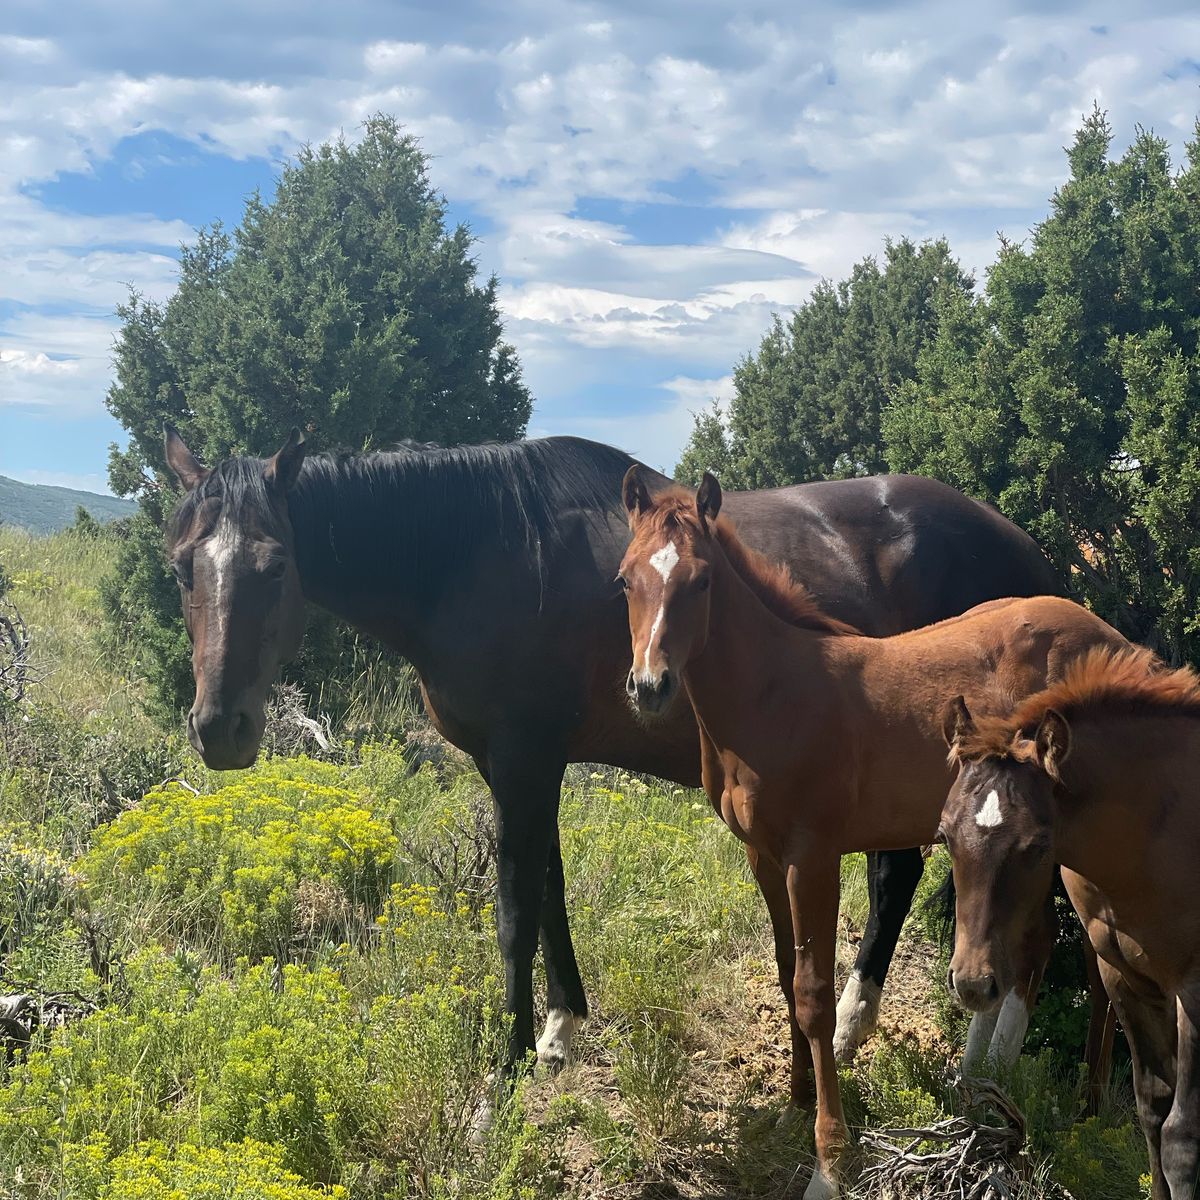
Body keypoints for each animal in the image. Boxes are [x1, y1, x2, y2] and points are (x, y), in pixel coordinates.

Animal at [162, 425, 1064, 1077]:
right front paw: (560, 1029)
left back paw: (951, 1050)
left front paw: (506, 1067)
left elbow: (514, 908)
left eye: (275, 566)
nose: (219, 728)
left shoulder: (523, 760)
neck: (480, 555)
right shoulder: (519, 763)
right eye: (181, 567)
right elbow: (549, 887)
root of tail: (1031, 556)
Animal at [616, 469, 1127, 1198]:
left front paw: (830, 1162)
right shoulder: (763, 856)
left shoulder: (813, 856)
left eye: (702, 580)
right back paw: (985, 1083)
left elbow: (816, 997)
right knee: (1038, 945)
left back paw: (1081, 1104)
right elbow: (786, 975)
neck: (776, 693)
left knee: (1089, 954)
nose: (650, 686)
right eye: (625, 581)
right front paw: (794, 1103)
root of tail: (1114, 638)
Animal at [940, 647, 1200, 1200]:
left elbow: (1182, 1138)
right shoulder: (1124, 978)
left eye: (1038, 845)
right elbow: (1152, 1109)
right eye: (944, 833)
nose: (972, 983)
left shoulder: (1195, 989)